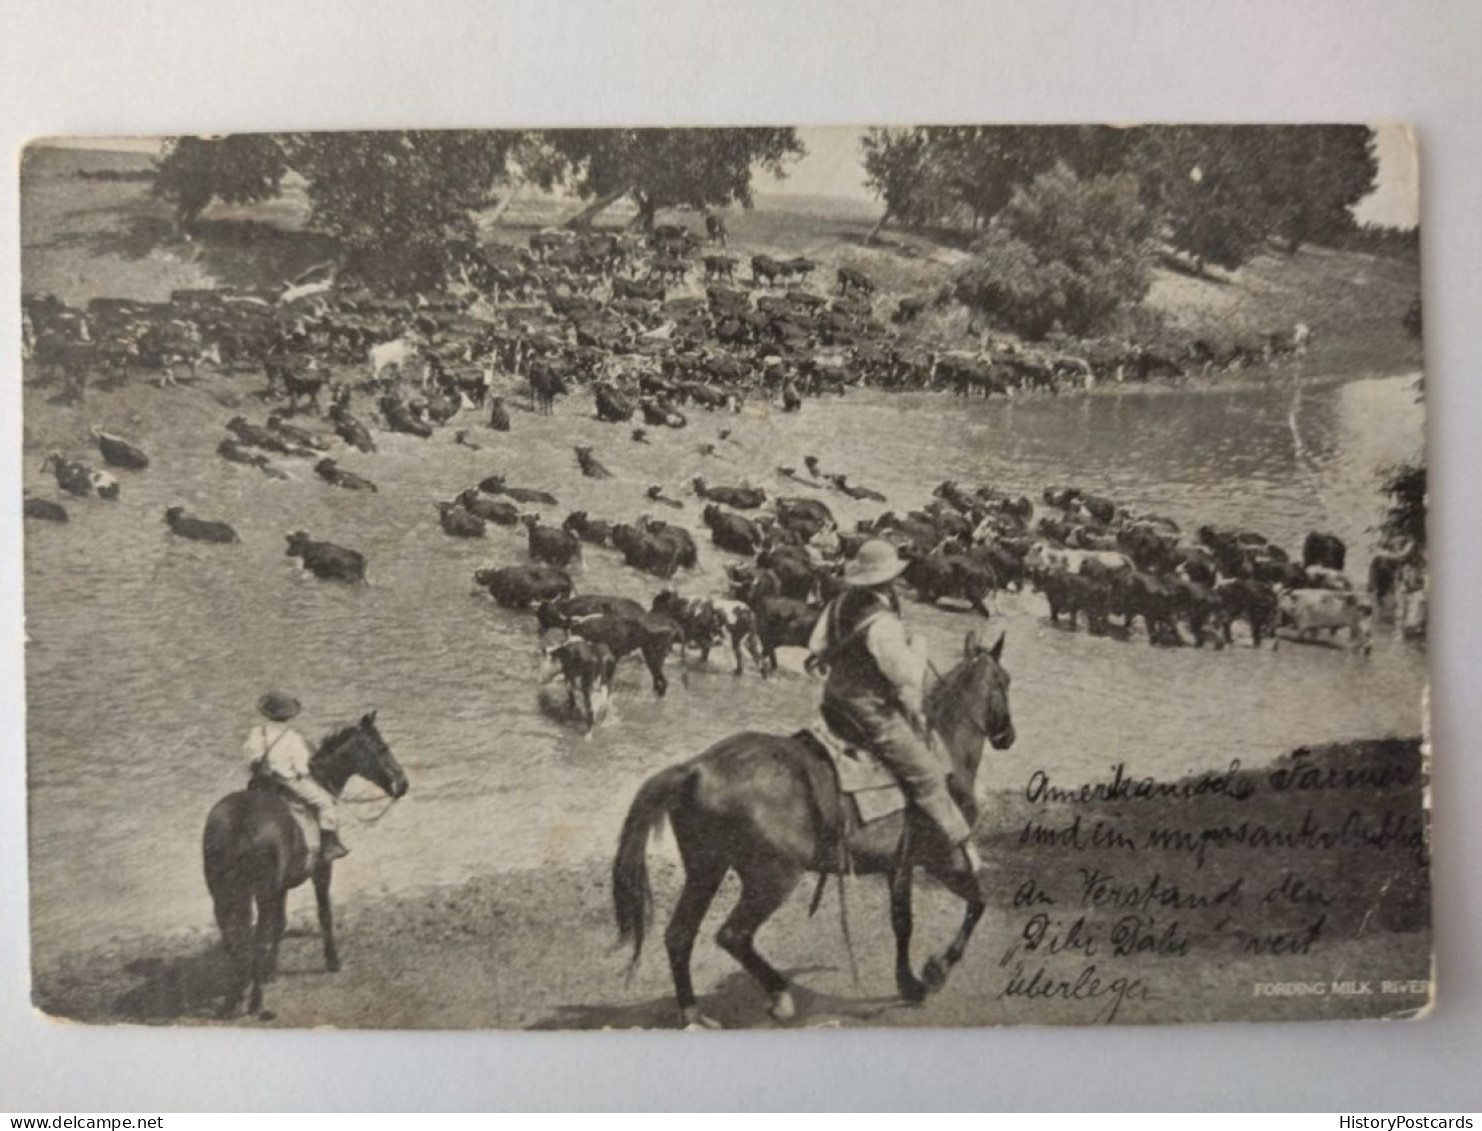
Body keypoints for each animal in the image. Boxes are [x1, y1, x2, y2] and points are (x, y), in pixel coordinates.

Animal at [200, 717, 406, 1019]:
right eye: (382, 748)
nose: (402, 784)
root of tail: (238, 822)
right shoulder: (322, 870)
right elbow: (324, 915)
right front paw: (332, 961)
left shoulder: (281, 886)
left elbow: (280, 924)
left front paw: (270, 971)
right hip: (259, 892)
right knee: (255, 935)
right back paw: (255, 1000)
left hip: (224, 893)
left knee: (233, 936)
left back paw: (235, 996)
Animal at [607, 631, 1013, 1031]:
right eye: (1004, 681)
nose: (1008, 736)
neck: (945, 752)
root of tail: (694, 768)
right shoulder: (943, 859)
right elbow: (975, 905)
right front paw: (933, 971)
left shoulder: (900, 865)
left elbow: (903, 922)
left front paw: (910, 981)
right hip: (772, 878)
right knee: (733, 935)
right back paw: (779, 997)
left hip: (706, 869)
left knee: (679, 935)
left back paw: (693, 1013)